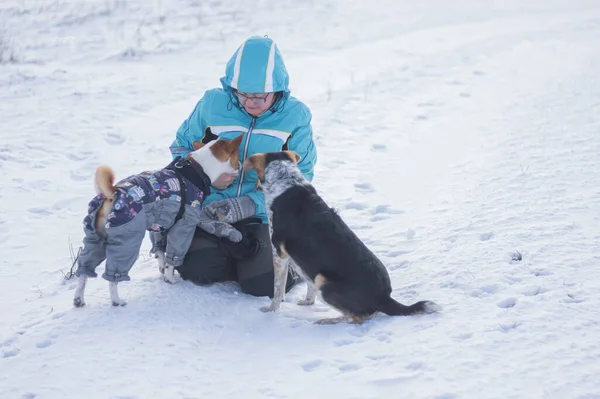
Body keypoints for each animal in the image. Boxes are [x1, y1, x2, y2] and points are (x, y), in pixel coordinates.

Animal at [74, 134, 243, 306]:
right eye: (237, 156)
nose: (242, 165)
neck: (197, 170)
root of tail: (113, 193)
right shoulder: (183, 226)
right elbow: (172, 257)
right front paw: (169, 278)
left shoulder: (160, 224)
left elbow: (160, 250)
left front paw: (163, 269)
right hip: (126, 239)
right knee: (113, 278)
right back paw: (116, 300)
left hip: (95, 239)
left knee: (84, 271)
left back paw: (79, 299)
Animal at [241, 151, 438, 324]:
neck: (286, 182)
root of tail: (384, 297)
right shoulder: (304, 263)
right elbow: (308, 286)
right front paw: (307, 302)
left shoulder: (279, 254)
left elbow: (277, 291)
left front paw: (271, 309)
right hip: (320, 276)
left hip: (324, 281)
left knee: (359, 318)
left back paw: (327, 320)